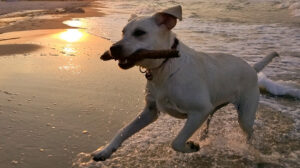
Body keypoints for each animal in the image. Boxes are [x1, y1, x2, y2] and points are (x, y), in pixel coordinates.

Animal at [92, 4, 278, 161]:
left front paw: (191, 146)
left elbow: (176, 142)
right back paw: (204, 135)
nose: (113, 48)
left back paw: (249, 148)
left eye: (139, 33)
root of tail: (252, 68)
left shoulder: (199, 111)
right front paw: (105, 151)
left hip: (245, 113)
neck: (165, 66)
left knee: (249, 131)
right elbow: (123, 131)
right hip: (215, 108)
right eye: (123, 32)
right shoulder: (150, 111)